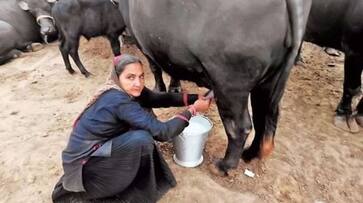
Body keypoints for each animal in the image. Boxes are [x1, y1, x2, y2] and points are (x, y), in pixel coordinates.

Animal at [118, 0, 312, 174]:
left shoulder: (143, 43)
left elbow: (154, 69)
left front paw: (159, 90)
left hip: (229, 83)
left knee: (240, 126)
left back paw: (224, 166)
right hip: (270, 81)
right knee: (263, 117)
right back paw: (250, 154)